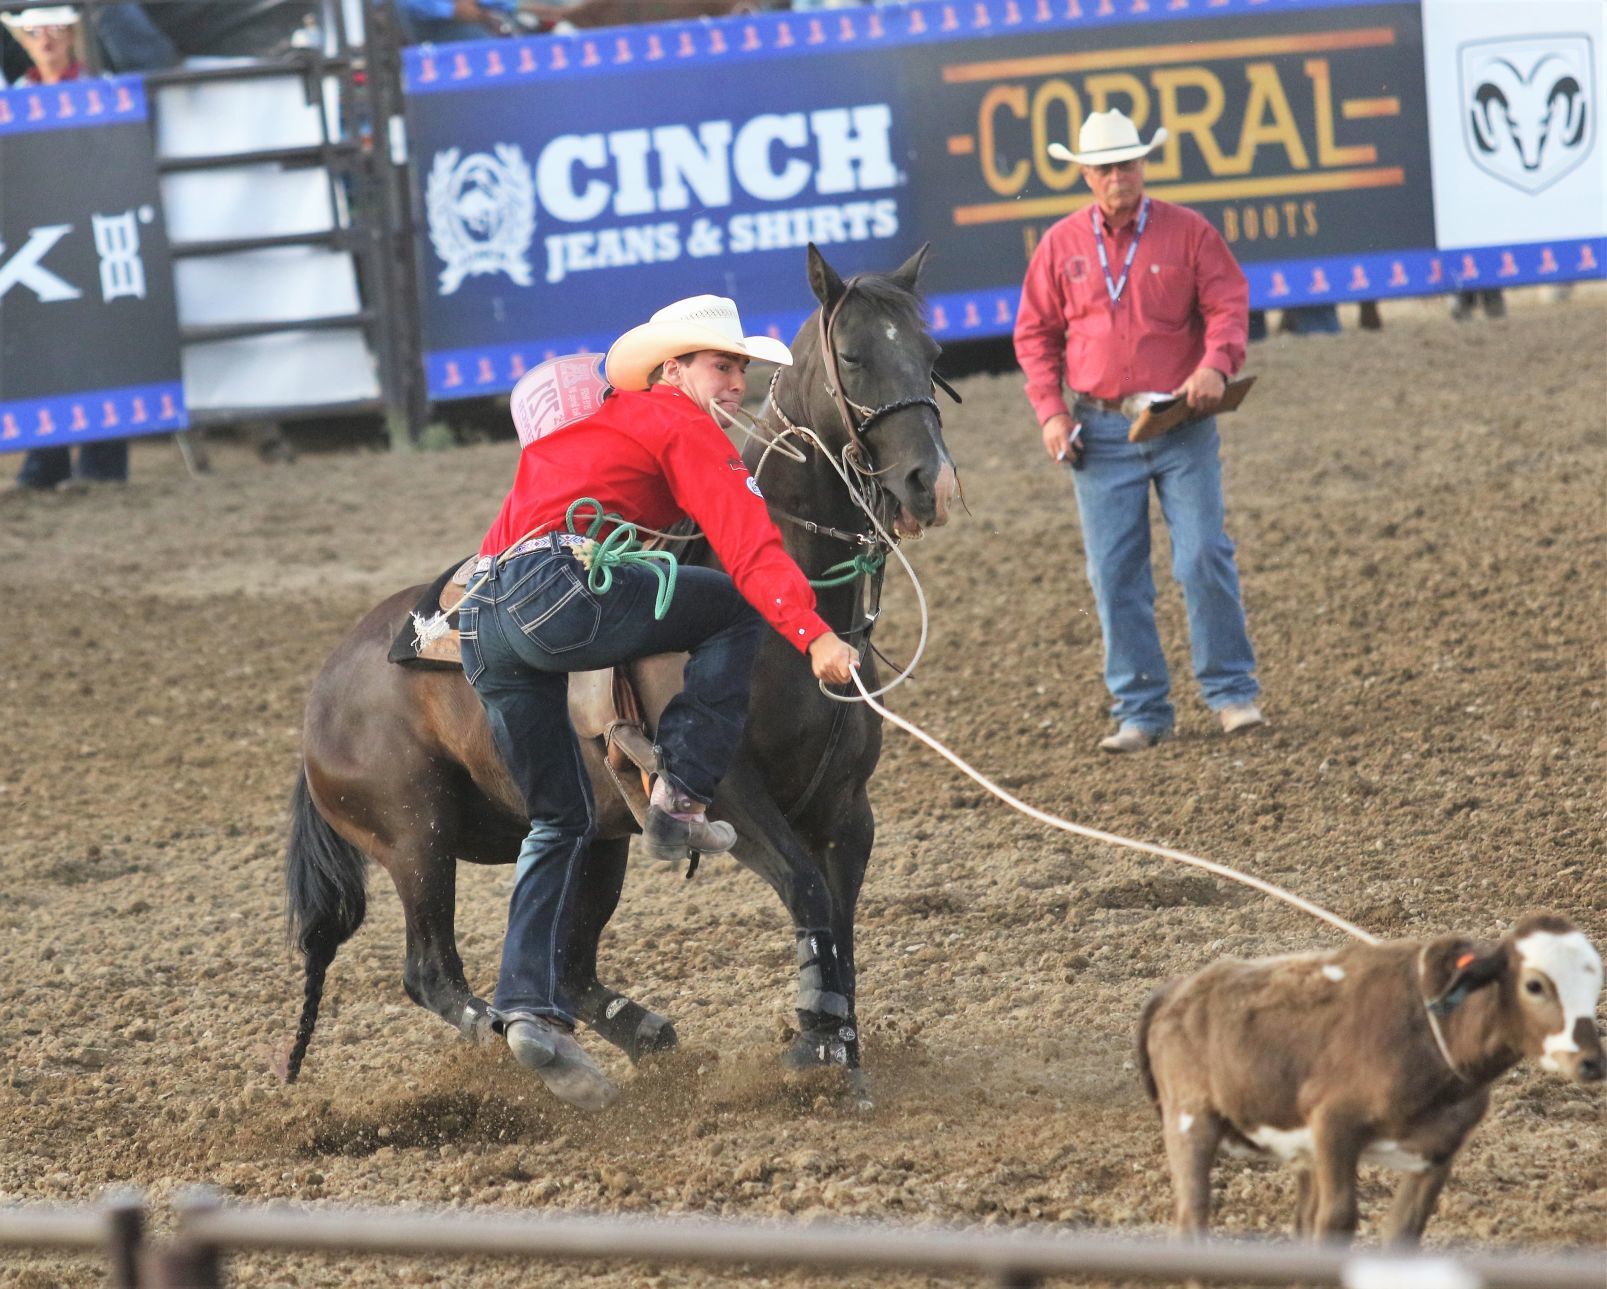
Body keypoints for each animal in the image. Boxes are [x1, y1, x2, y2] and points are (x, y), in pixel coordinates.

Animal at [281, 244, 951, 1092]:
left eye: (931, 355)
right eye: (856, 356)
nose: (929, 481)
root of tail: (321, 696)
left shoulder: (847, 808)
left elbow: (839, 923)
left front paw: (840, 1053)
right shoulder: (733, 796)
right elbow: (805, 892)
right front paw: (815, 1052)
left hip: (590, 835)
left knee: (567, 964)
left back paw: (636, 1037)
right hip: (414, 836)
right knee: (430, 970)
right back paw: (532, 1048)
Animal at [1137, 906, 1600, 1240]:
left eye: (1595, 988)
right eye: (1535, 985)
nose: (1592, 1061)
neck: (1434, 1032)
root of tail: (1174, 990)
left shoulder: (1437, 1153)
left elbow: (1402, 1232)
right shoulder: (1334, 1127)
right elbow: (1337, 1221)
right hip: (1190, 1120)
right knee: (1193, 1216)